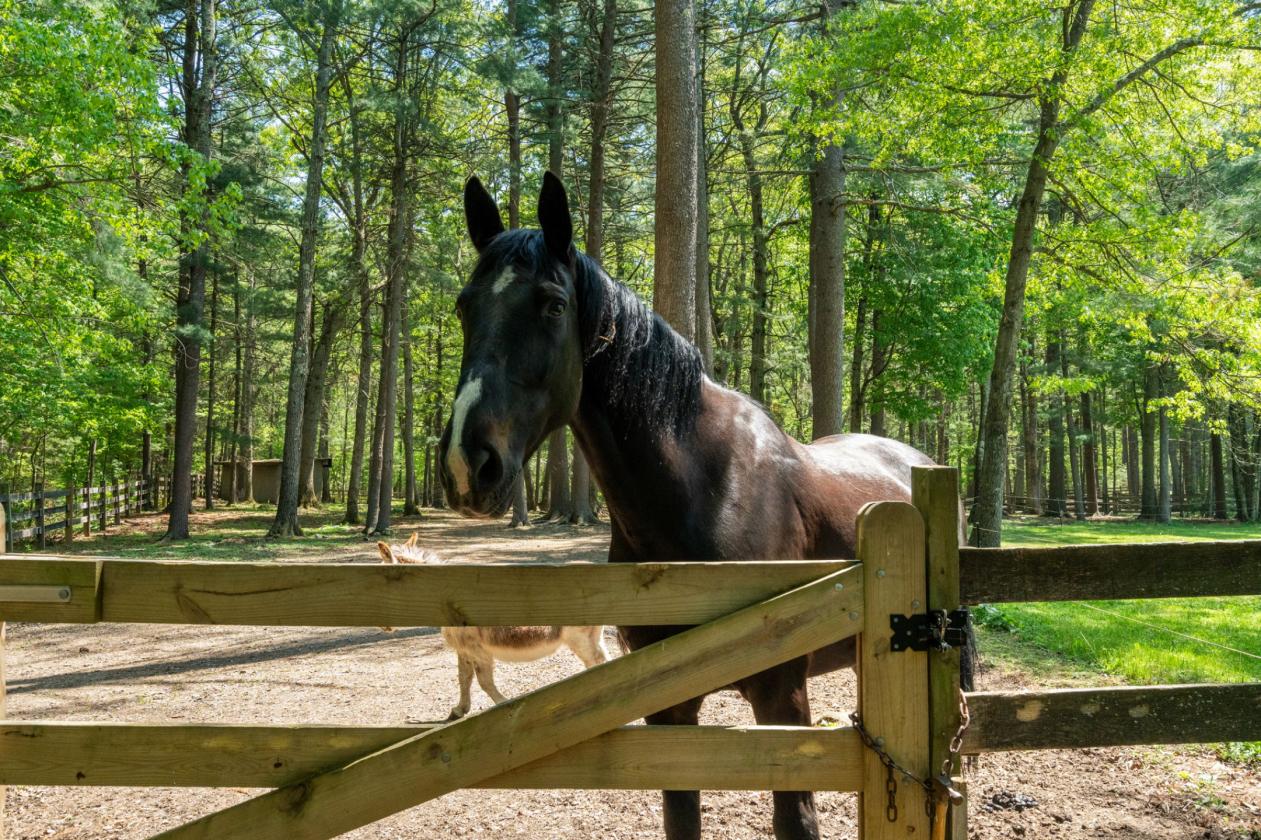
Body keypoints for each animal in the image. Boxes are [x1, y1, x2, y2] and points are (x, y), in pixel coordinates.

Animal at [376, 533, 609, 720]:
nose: (383, 627)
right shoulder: (464, 650)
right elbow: (464, 678)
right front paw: (459, 710)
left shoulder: (479, 651)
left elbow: (484, 681)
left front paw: (505, 705)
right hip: (593, 637)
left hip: (580, 639)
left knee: (597, 663)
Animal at [437, 171, 945, 840]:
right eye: (464, 306)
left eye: (552, 304)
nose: (467, 463)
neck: (708, 495)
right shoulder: (669, 710)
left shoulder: (784, 704)